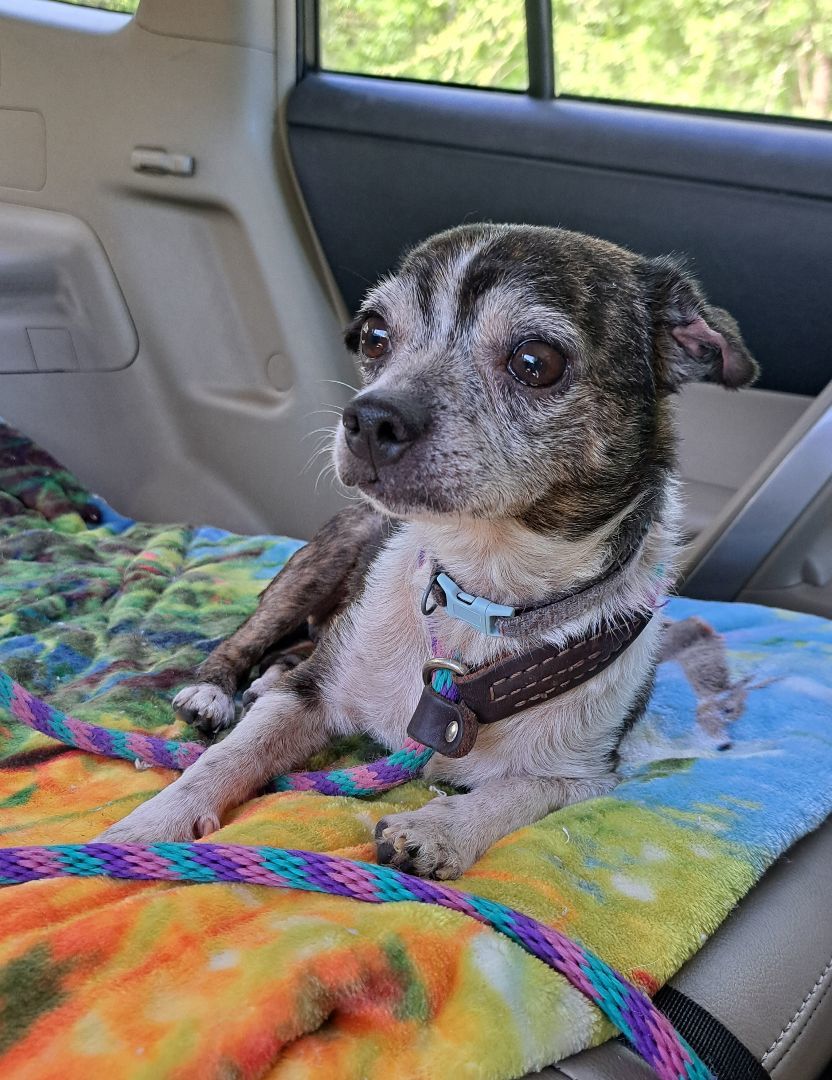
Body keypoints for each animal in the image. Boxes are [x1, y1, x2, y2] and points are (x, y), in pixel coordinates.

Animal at [101, 223, 758, 879]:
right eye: (374, 336)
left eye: (535, 362)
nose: (369, 417)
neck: (483, 594)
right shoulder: (307, 698)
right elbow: (224, 761)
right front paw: (150, 825)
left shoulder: (585, 776)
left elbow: (513, 794)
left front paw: (438, 830)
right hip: (312, 570)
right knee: (247, 641)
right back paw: (214, 692)